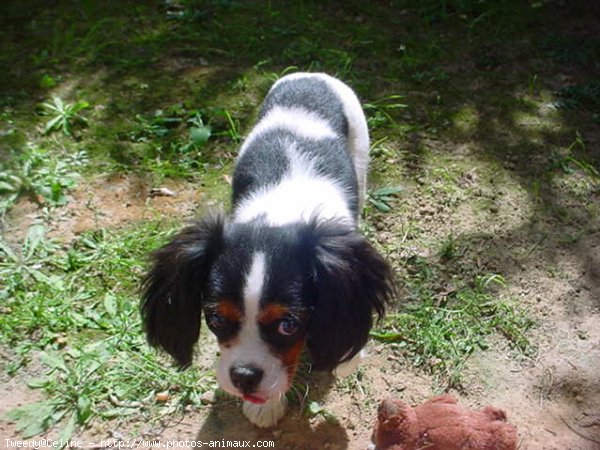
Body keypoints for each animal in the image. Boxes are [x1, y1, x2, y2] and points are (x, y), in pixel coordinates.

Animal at [140, 72, 394, 428]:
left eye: (288, 324)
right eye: (216, 318)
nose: (244, 376)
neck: (279, 215)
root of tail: (310, 75)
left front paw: (345, 358)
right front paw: (266, 407)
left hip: (360, 146)